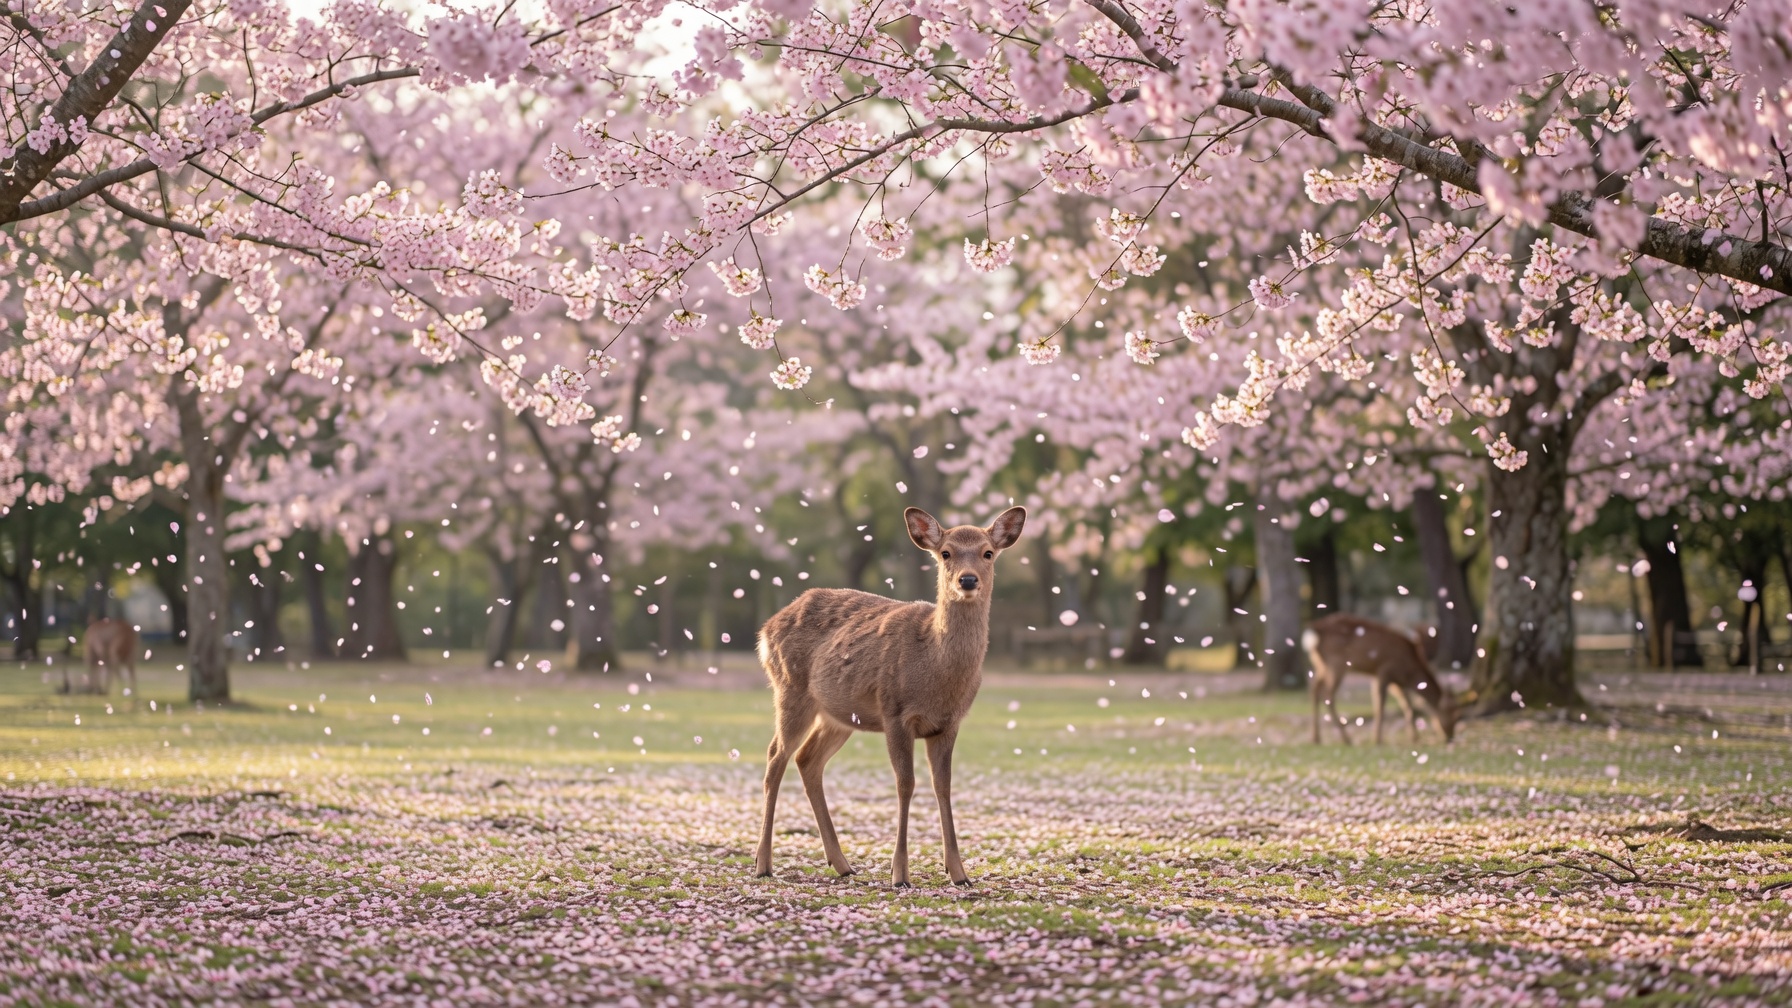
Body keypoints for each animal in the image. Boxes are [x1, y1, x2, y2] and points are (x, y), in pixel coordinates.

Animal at [754, 505, 1026, 887]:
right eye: (946, 553)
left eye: (988, 553)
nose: (968, 580)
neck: (935, 671)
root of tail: (765, 631)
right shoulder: (895, 712)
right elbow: (905, 783)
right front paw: (899, 874)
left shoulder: (950, 723)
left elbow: (943, 786)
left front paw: (958, 873)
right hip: (790, 688)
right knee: (775, 756)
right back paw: (763, 864)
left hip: (838, 715)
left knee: (807, 759)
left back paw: (842, 863)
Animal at [1301, 614, 1457, 746]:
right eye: (1452, 713)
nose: (1450, 737)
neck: (1409, 670)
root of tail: (1315, 630)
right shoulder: (1384, 671)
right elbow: (1380, 707)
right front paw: (1377, 739)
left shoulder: (1397, 681)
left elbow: (1408, 705)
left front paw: (1415, 738)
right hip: (1337, 663)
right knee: (1328, 695)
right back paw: (1347, 739)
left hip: (1321, 664)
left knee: (1314, 689)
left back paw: (1316, 738)